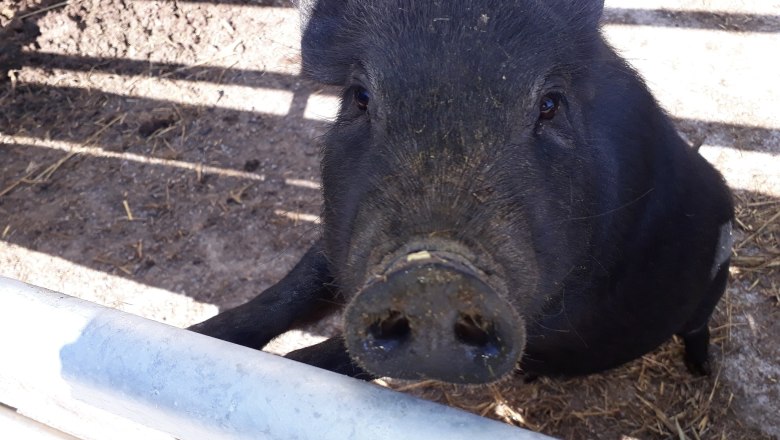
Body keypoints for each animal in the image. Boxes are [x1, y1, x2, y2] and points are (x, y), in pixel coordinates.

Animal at [190, 0, 734, 384]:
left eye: (550, 104)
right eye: (360, 98)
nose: (434, 272)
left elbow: (327, 356)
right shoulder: (338, 235)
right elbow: (288, 293)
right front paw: (199, 337)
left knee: (698, 327)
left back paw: (702, 370)